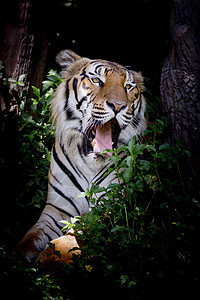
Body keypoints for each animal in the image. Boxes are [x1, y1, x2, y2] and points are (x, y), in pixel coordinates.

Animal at [16, 50, 146, 262]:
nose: (118, 106)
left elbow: (76, 234)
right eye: (97, 80)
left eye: (128, 87)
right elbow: (34, 233)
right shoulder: (58, 208)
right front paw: (18, 255)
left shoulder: (110, 206)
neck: (89, 164)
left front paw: (49, 257)